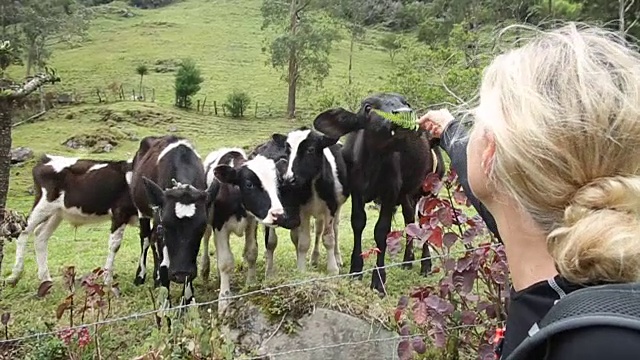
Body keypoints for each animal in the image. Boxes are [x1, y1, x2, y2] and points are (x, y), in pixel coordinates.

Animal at [5, 153, 138, 294]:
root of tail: (47, 159)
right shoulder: (120, 213)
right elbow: (115, 246)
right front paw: (108, 281)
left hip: (57, 213)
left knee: (40, 235)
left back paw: (46, 280)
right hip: (43, 204)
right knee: (24, 232)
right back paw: (15, 275)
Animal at [129, 135, 219, 306]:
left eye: (201, 228)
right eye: (166, 227)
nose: (181, 274)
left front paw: (188, 298)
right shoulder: (159, 220)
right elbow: (164, 264)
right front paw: (165, 304)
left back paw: (156, 278)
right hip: (142, 210)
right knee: (145, 239)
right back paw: (141, 275)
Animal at [258, 128, 350, 278]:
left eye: (310, 149)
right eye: (288, 151)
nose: (289, 178)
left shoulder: (331, 207)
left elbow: (328, 238)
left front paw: (333, 269)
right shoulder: (302, 211)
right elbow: (303, 242)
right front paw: (301, 269)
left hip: (338, 207)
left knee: (335, 228)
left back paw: (337, 258)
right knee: (318, 229)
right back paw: (314, 258)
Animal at [314, 93, 444, 296]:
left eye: (405, 103)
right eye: (368, 107)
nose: (404, 113)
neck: (371, 165)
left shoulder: (390, 192)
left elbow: (381, 231)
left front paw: (378, 280)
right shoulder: (356, 192)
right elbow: (358, 223)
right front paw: (355, 271)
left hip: (429, 190)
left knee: (424, 221)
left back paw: (425, 264)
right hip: (406, 194)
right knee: (409, 219)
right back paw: (407, 261)